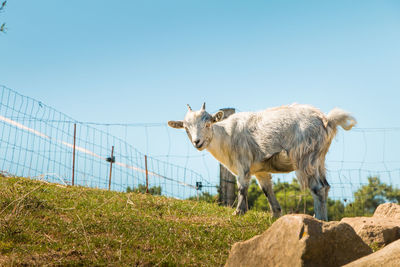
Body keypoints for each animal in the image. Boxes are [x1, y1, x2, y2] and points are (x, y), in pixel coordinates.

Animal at [168, 103, 356, 221]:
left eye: (208, 124)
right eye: (186, 128)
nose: (197, 142)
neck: (226, 135)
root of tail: (327, 120)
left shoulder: (243, 165)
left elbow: (242, 188)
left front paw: (238, 212)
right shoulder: (260, 170)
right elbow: (267, 190)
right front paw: (275, 215)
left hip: (305, 156)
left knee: (317, 188)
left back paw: (320, 219)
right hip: (319, 159)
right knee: (326, 186)